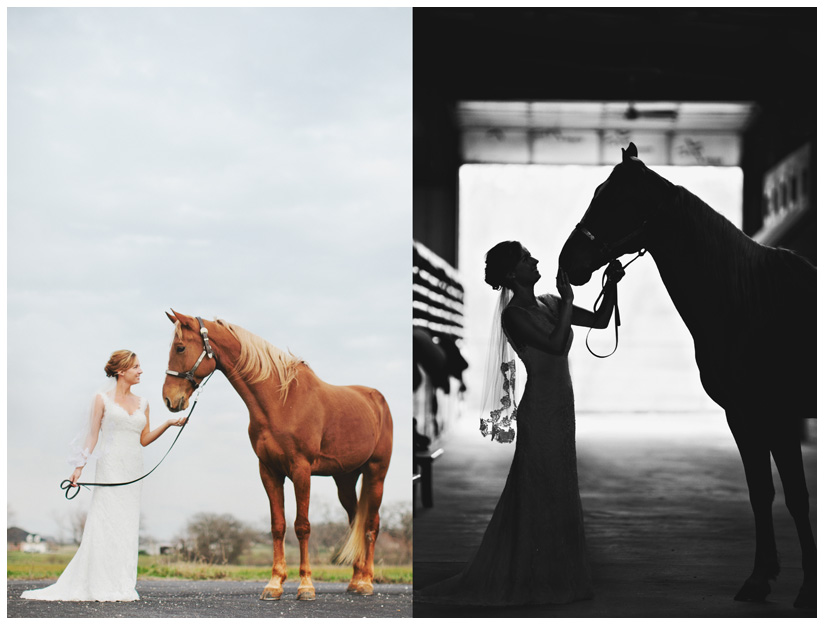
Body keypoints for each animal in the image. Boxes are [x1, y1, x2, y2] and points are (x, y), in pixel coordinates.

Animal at [163, 310, 394, 596]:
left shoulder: (301, 470)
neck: (281, 401)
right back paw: (354, 580)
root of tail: (377, 400)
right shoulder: (269, 471)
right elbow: (278, 526)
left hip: (376, 473)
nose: (169, 399)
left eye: (180, 347)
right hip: (345, 479)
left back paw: (366, 582)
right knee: (355, 522)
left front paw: (305, 586)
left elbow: (302, 526)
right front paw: (274, 584)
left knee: (371, 525)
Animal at [556, 144, 816, 608]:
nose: (568, 262)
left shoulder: (779, 415)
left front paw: (805, 590)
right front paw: (759, 578)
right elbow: (760, 491)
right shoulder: (743, 415)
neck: (749, 301)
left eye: (614, 199)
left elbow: (797, 498)